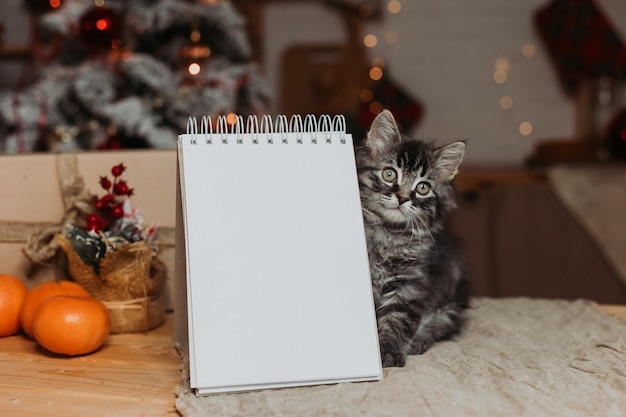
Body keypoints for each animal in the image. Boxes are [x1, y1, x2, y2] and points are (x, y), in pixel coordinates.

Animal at [356, 109, 468, 368]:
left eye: (423, 187)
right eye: (389, 174)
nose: (402, 198)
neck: (389, 233)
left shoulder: (411, 283)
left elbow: (397, 320)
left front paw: (388, 352)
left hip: (450, 306)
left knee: (437, 326)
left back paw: (418, 342)